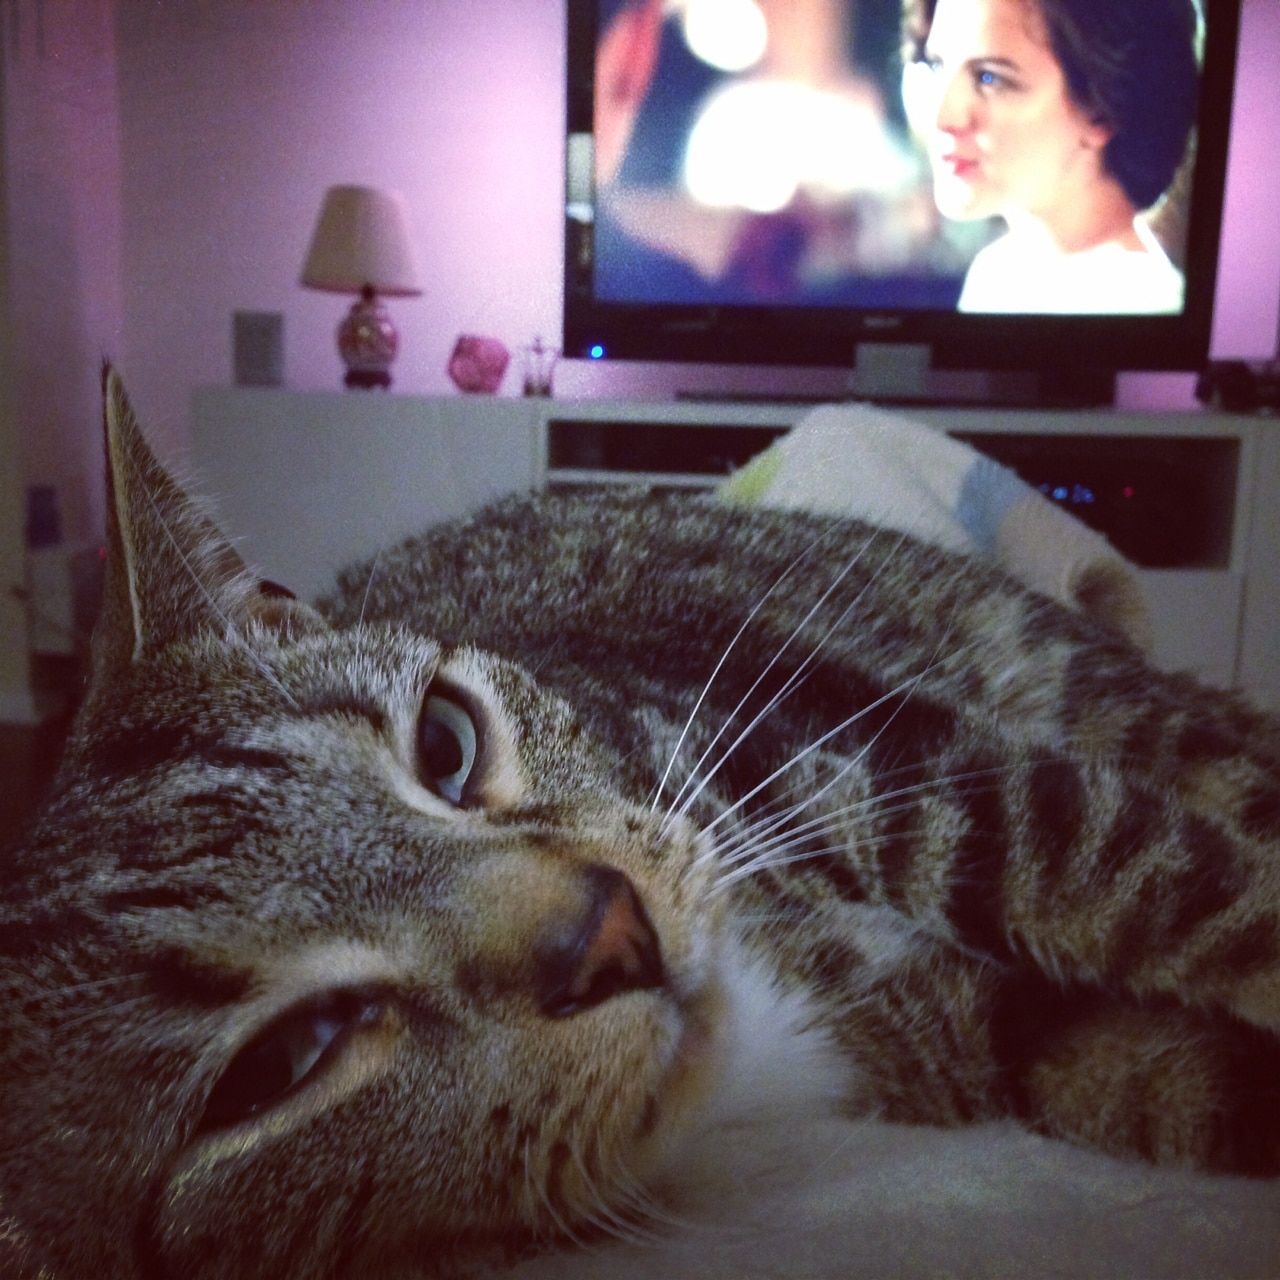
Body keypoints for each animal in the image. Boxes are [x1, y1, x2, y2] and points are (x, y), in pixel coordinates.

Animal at [3, 367, 1280, 1279]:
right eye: (279, 1062)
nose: (606, 931)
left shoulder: (866, 754)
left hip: (1067, 682)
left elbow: (1157, 883)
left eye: (444, 744)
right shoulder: (986, 1039)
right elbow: (1165, 1072)